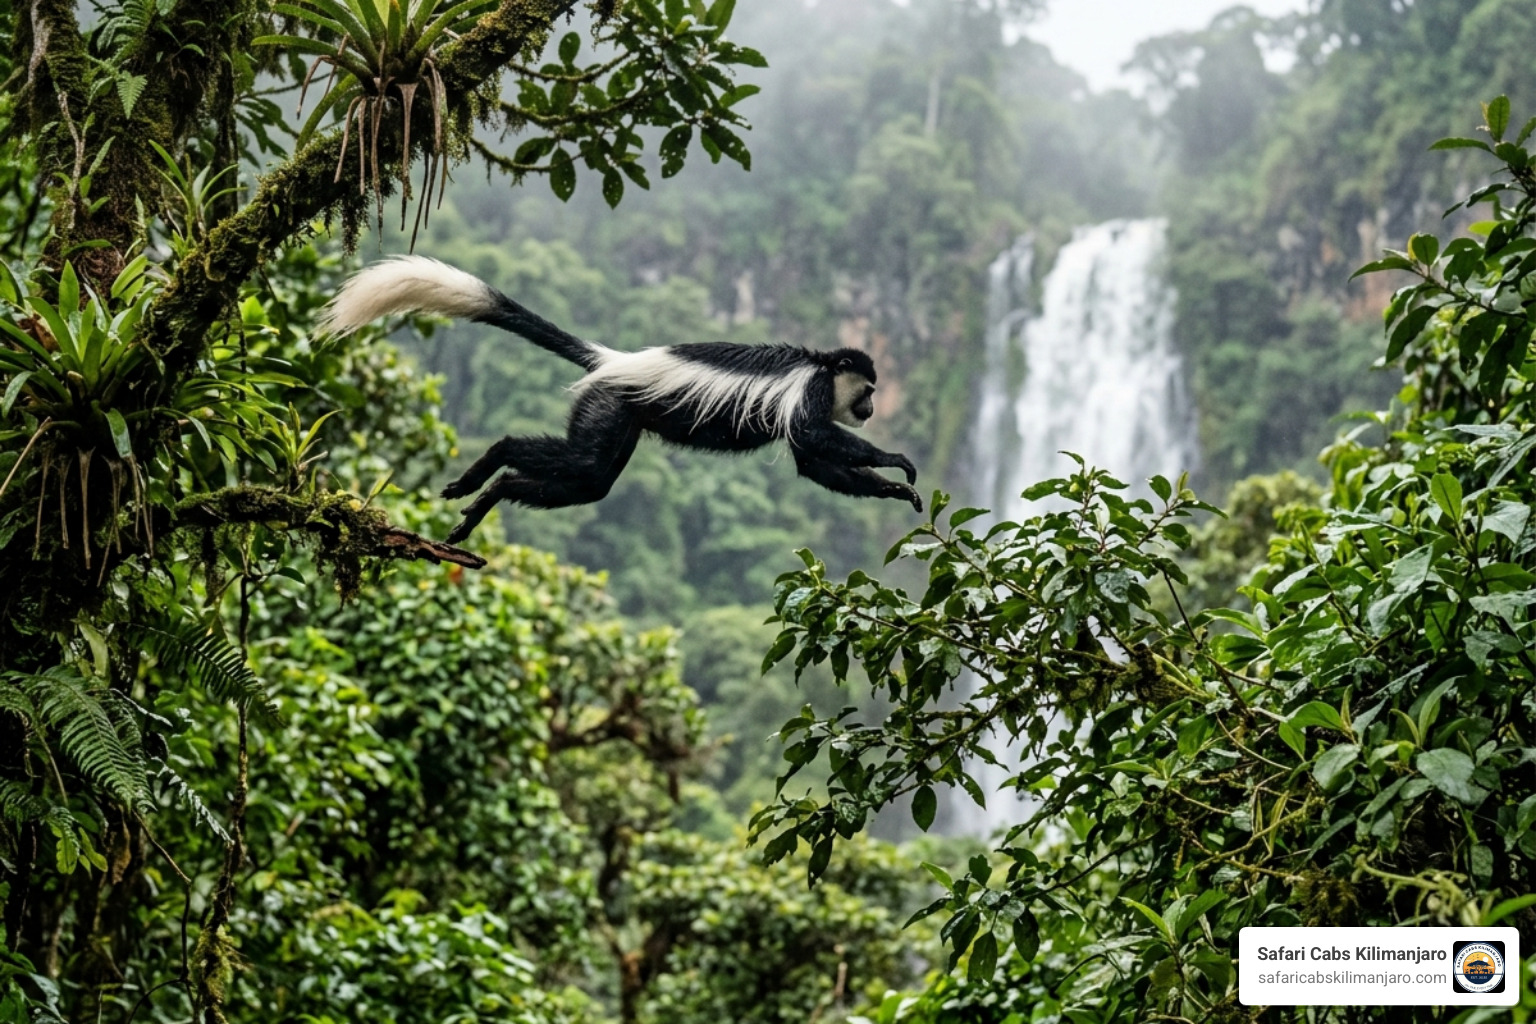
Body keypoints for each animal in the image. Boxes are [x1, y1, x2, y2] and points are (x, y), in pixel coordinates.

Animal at [319, 257, 921, 544]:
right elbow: (818, 440)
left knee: (591, 481)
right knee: (577, 461)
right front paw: (897, 462)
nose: (870, 410)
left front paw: (894, 492)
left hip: (620, 418)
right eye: (868, 392)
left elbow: (816, 465)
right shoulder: (810, 394)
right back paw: (489, 469)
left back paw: (491, 496)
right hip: (607, 406)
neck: (821, 367)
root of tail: (616, 359)